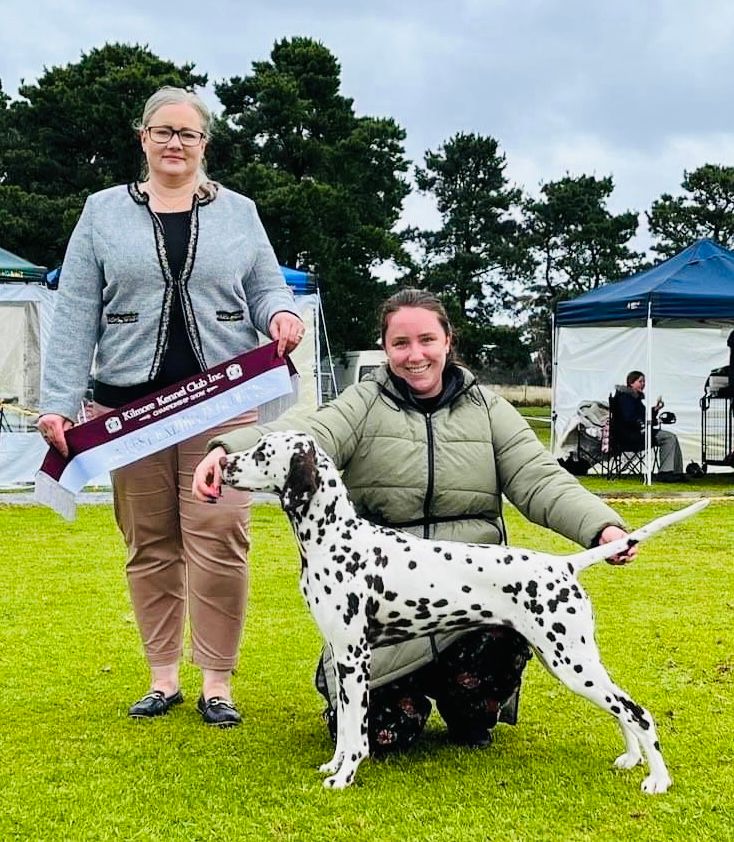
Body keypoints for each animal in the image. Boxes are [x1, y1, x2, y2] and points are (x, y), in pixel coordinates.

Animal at [221, 431, 708, 793]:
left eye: (262, 451)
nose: (222, 463)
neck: (335, 537)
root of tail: (564, 564)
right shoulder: (342, 660)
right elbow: (343, 729)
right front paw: (334, 766)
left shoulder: (355, 659)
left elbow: (356, 734)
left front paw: (345, 777)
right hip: (575, 660)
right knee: (622, 709)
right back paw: (631, 758)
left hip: (571, 662)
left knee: (637, 711)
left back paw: (658, 781)